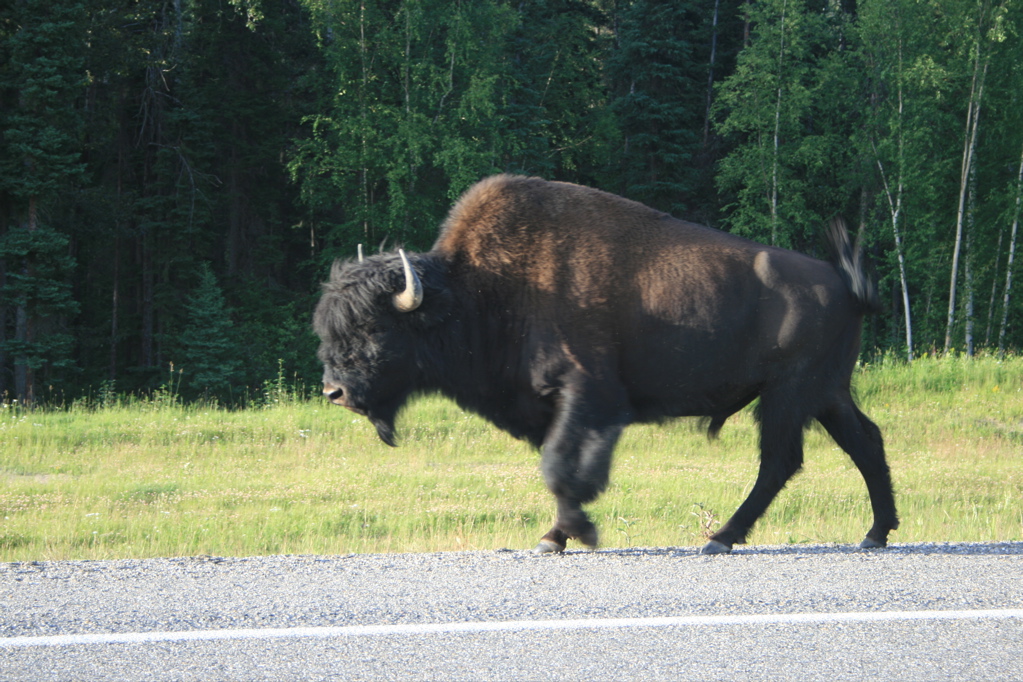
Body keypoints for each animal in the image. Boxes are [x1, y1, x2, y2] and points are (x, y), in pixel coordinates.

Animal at [313, 175, 896, 556]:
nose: (333, 392)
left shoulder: (590, 397)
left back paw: (721, 539)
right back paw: (875, 533)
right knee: (864, 441)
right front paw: (555, 538)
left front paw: (577, 534)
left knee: (780, 461)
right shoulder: (553, 408)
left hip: (788, 394)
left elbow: (561, 468)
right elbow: (558, 469)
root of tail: (842, 283)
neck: (476, 290)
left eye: (375, 329)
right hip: (826, 393)